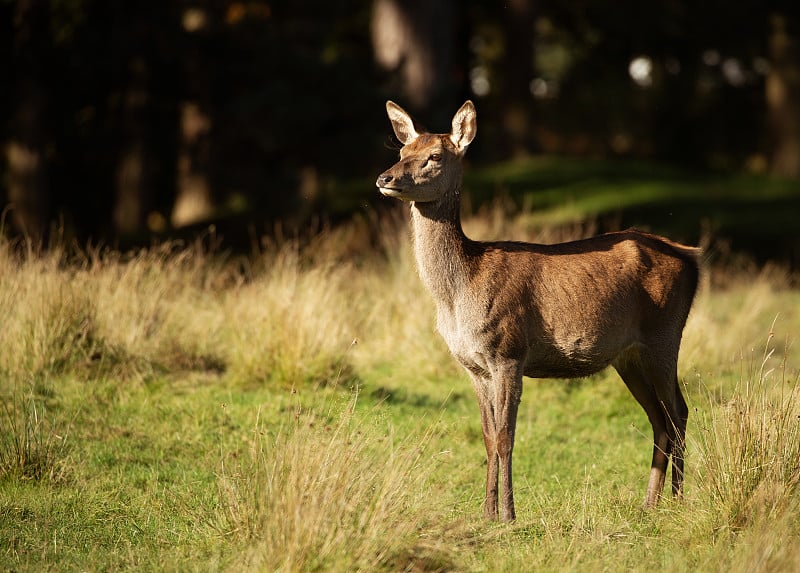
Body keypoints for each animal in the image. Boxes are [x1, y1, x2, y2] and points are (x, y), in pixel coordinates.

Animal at [376, 100, 700, 520]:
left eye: (434, 156)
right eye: (402, 151)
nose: (385, 177)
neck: (458, 293)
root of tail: (692, 258)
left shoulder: (509, 352)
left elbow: (505, 437)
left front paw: (509, 516)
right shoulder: (473, 366)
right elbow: (486, 437)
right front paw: (486, 513)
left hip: (665, 335)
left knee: (679, 412)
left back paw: (678, 502)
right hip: (628, 357)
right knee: (660, 419)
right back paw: (650, 505)